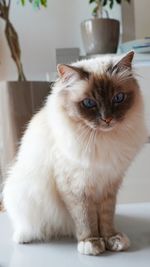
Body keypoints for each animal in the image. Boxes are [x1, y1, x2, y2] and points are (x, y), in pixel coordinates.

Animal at [2, 51, 148, 255]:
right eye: (89, 103)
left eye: (118, 98)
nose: (107, 119)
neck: (102, 140)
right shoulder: (76, 187)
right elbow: (86, 219)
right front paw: (91, 243)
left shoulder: (109, 184)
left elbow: (106, 218)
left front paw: (112, 239)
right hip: (19, 192)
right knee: (27, 225)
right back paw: (24, 237)